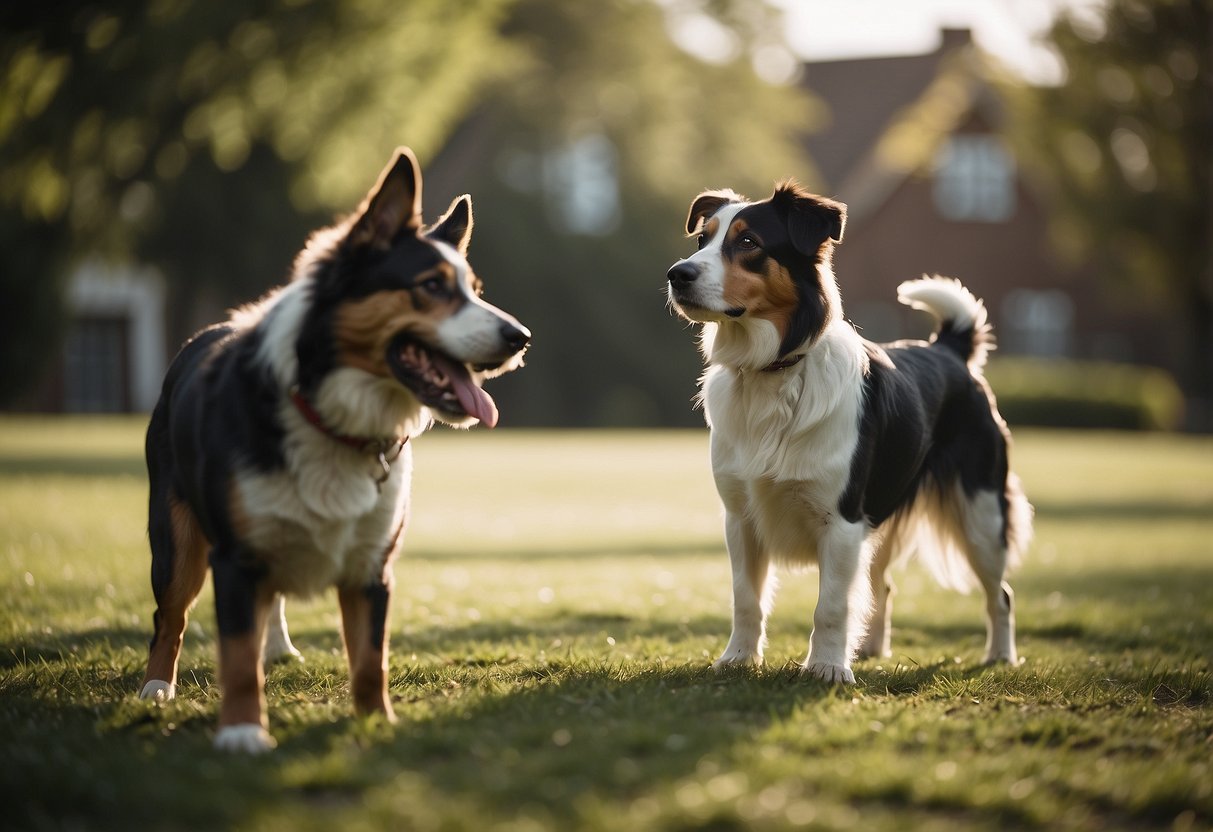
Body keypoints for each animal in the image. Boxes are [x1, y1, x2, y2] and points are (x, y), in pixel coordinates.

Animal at [137, 149, 526, 756]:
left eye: (473, 289)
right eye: (431, 286)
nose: (521, 338)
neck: (333, 419)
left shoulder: (372, 565)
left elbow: (369, 659)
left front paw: (375, 721)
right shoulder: (234, 556)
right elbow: (237, 658)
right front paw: (243, 731)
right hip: (176, 539)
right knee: (170, 614)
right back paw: (156, 687)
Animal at [669, 181, 1028, 684]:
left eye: (748, 243)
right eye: (703, 239)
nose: (676, 274)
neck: (774, 371)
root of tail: (948, 350)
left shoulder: (841, 519)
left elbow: (832, 607)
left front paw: (827, 668)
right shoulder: (740, 517)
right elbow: (746, 599)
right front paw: (738, 658)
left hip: (981, 515)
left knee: (1002, 594)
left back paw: (1001, 655)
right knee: (883, 586)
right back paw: (873, 648)